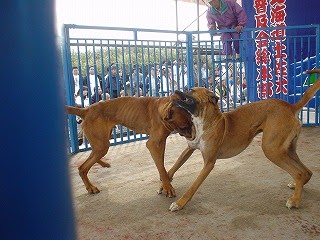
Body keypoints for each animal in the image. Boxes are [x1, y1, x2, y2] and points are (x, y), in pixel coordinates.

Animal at [66, 95, 194, 197]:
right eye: (183, 127)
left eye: (192, 122)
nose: (193, 137)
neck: (160, 111)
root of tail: (86, 110)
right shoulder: (152, 144)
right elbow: (161, 167)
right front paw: (167, 187)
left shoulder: (161, 143)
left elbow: (161, 164)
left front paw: (164, 180)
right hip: (102, 146)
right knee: (82, 168)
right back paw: (90, 187)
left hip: (102, 143)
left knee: (92, 155)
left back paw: (103, 164)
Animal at [168, 68, 320, 211]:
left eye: (190, 90)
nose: (175, 90)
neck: (206, 121)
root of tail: (290, 107)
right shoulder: (190, 148)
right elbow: (175, 165)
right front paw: (166, 184)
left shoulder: (209, 163)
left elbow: (193, 186)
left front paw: (179, 203)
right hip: (287, 150)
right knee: (306, 172)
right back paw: (297, 185)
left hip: (272, 150)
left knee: (299, 173)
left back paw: (295, 200)